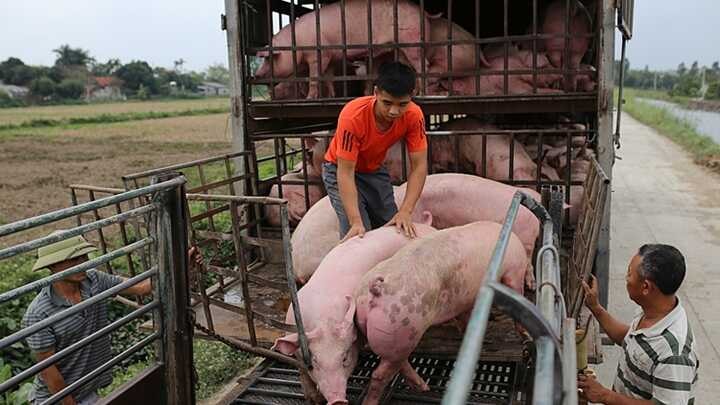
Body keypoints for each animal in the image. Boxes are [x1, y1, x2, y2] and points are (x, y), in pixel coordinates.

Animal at [258, 1, 438, 98]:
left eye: (268, 58)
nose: (256, 75)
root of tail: (423, 12)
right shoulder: (330, 56)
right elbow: (329, 77)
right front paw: (332, 96)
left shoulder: (319, 54)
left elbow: (314, 77)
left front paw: (309, 98)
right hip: (401, 49)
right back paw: (414, 93)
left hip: (412, 41)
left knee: (424, 65)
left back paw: (422, 94)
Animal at [274, 223, 434, 402]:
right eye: (315, 362)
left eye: (344, 357)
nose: (337, 401)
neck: (324, 321)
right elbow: (303, 375)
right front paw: (313, 398)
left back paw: (424, 388)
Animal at [354, 221, 528, 404]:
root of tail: (377, 287)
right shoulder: (515, 269)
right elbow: (517, 291)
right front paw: (524, 334)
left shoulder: (464, 301)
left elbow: (464, 318)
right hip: (403, 327)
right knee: (380, 374)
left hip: (392, 336)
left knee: (398, 362)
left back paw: (423, 387)